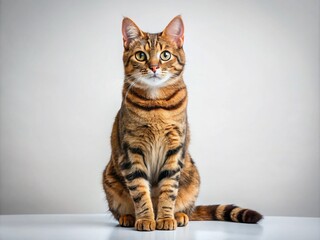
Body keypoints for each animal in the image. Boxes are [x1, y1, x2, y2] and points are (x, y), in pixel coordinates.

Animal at [102, 15, 262, 232]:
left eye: (165, 55)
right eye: (141, 56)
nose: (154, 67)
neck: (156, 106)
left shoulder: (175, 148)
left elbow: (169, 189)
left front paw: (165, 218)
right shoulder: (132, 150)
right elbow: (140, 191)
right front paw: (146, 219)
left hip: (192, 173)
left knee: (186, 207)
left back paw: (178, 216)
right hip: (109, 177)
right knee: (120, 209)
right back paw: (128, 217)